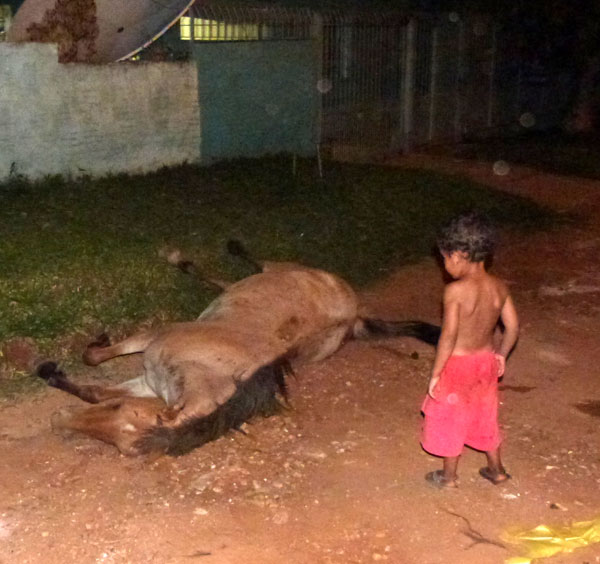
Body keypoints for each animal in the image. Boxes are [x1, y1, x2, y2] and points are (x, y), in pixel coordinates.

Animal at [37, 240, 440, 456]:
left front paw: (58, 364)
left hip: (279, 267)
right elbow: (93, 388)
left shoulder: (155, 340)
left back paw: (206, 253)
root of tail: (354, 312)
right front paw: (58, 376)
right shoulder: (149, 382)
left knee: (245, 268)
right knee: (227, 280)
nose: (57, 421)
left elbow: (93, 359)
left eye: (123, 416)